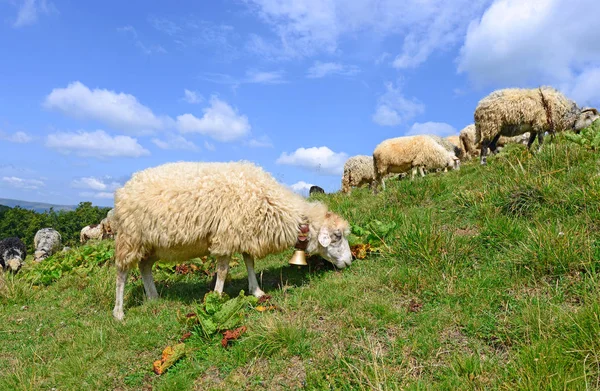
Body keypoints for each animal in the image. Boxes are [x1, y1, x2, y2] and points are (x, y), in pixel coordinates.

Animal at [111, 161, 352, 320]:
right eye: (337, 236)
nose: (350, 262)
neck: (272, 204)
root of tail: (124, 187)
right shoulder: (226, 235)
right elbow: (223, 271)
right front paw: (216, 299)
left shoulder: (245, 233)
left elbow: (249, 263)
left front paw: (257, 291)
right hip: (130, 238)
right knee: (122, 273)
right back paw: (119, 311)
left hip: (152, 245)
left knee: (144, 266)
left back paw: (153, 296)